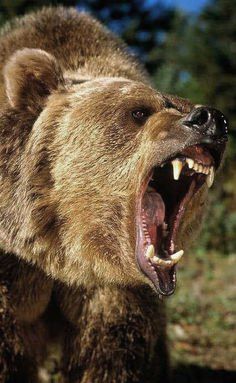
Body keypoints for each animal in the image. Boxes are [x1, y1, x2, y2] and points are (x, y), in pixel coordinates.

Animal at [0, 6, 229, 383]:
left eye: (182, 103)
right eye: (139, 111)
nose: (211, 118)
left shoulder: (117, 289)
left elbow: (113, 352)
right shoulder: (13, 264)